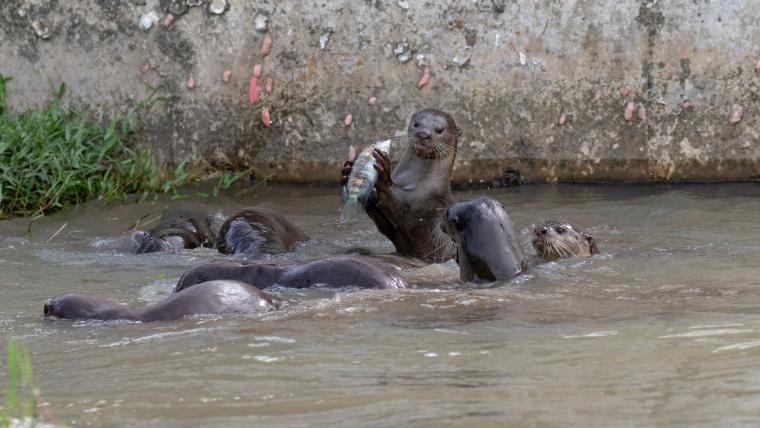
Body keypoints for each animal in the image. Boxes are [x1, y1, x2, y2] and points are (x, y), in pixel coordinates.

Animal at [342, 108, 460, 262]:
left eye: (439, 130)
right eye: (416, 124)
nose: (423, 134)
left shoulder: (419, 205)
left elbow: (398, 206)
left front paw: (384, 171)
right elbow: (385, 225)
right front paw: (347, 172)